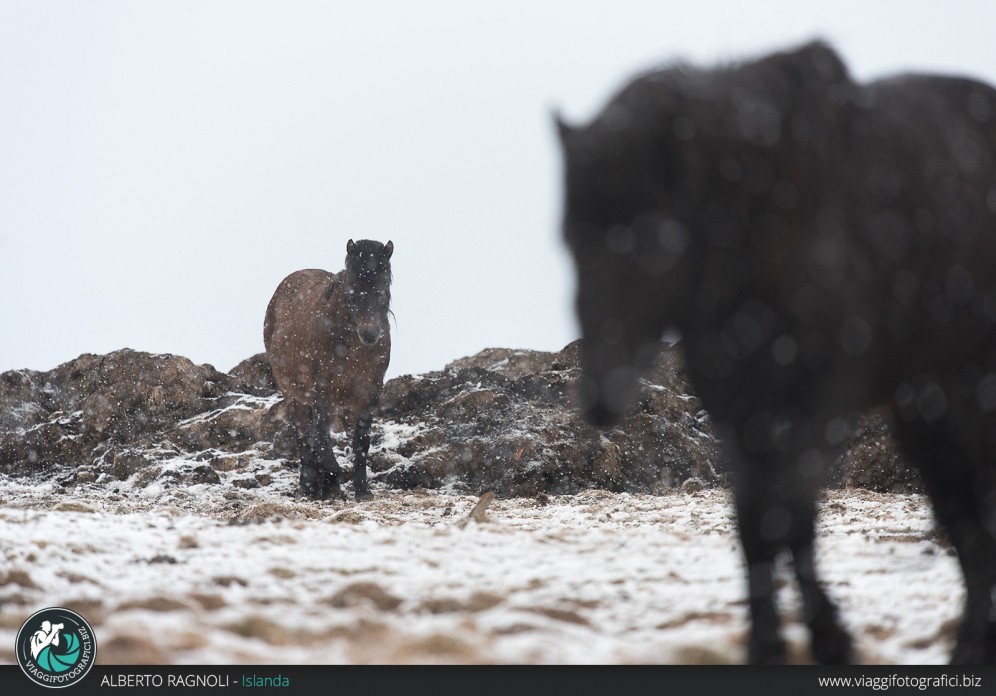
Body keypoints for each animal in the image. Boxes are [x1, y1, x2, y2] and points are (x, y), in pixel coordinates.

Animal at [264, 239, 392, 500]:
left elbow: (361, 442)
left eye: (385, 285)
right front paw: (332, 479)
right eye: (352, 286)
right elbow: (320, 439)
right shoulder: (322, 391)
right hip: (293, 395)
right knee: (304, 438)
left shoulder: (370, 392)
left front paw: (362, 491)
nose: (370, 334)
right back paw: (306, 487)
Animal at [556, 39, 996, 664]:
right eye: (567, 238)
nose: (600, 398)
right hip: (928, 419)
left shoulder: (825, 405)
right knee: (967, 521)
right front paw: (772, 645)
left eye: (653, 238)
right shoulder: (739, 415)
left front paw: (828, 638)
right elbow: (755, 525)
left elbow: (790, 513)